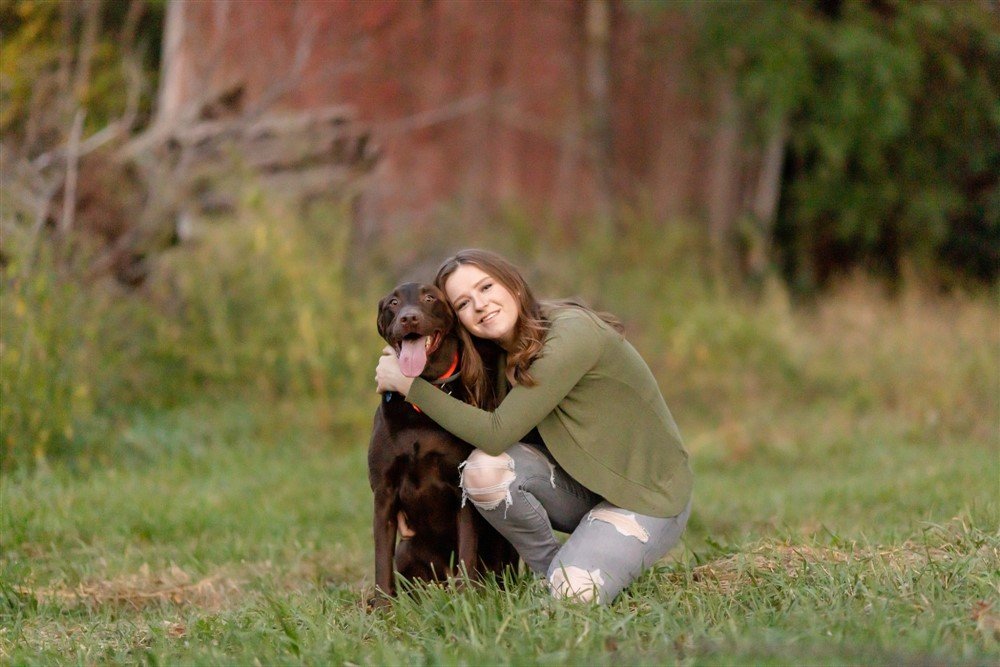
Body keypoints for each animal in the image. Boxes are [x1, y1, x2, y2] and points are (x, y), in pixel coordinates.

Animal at [372, 280, 520, 604]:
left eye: (430, 298)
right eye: (393, 303)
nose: (409, 318)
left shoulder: (462, 490)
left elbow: (466, 553)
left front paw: (466, 600)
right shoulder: (384, 493)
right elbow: (381, 559)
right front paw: (382, 607)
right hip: (407, 549)